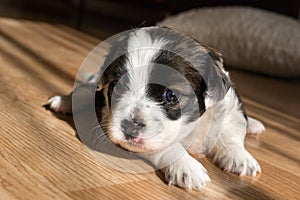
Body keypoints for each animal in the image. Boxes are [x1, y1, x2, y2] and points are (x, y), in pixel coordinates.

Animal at [47, 26, 264, 189]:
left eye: (171, 96)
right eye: (117, 86)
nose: (129, 126)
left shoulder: (229, 108)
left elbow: (231, 132)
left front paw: (239, 157)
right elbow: (167, 146)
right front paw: (186, 166)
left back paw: (254, 125)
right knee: (82, 92)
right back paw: (62, 102)